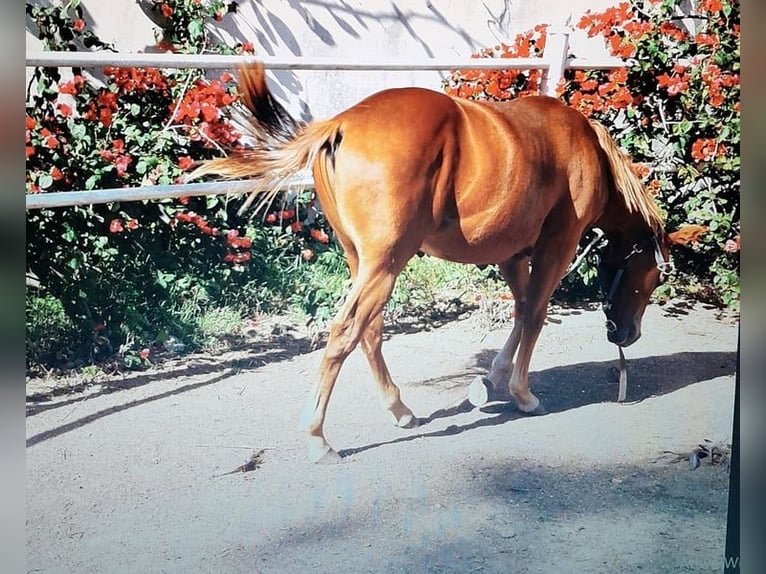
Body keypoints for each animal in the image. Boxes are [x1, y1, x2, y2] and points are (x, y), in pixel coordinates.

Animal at [190, 65, 704, 466]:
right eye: (653, 275)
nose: (625, 334)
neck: (581, 148)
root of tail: (339, 125)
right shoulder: (555, 246)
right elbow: (536, 315)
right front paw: (522, 393)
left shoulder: (512, 254)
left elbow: (521, 311)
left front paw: (491, 380)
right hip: (384, 263)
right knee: (346, 333)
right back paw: (319, 439)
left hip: (364, 262)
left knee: (369, 332)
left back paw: (400, 410)